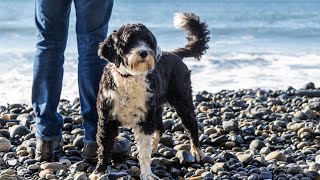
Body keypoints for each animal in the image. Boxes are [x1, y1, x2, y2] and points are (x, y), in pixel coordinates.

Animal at [90, 12, 210, 180]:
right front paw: (99, 171)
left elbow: (144, 153)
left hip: (182, 100)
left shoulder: (145, 120)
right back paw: (154, 147)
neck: (130, 77)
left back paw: (196, 150)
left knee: (192, 125)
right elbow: (104, 147)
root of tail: (174, 53)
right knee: (160, 127)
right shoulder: (107, 119)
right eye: (129, 41)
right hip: (156, 107)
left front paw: (147, 174)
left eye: (147, 41)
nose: (143, 52)